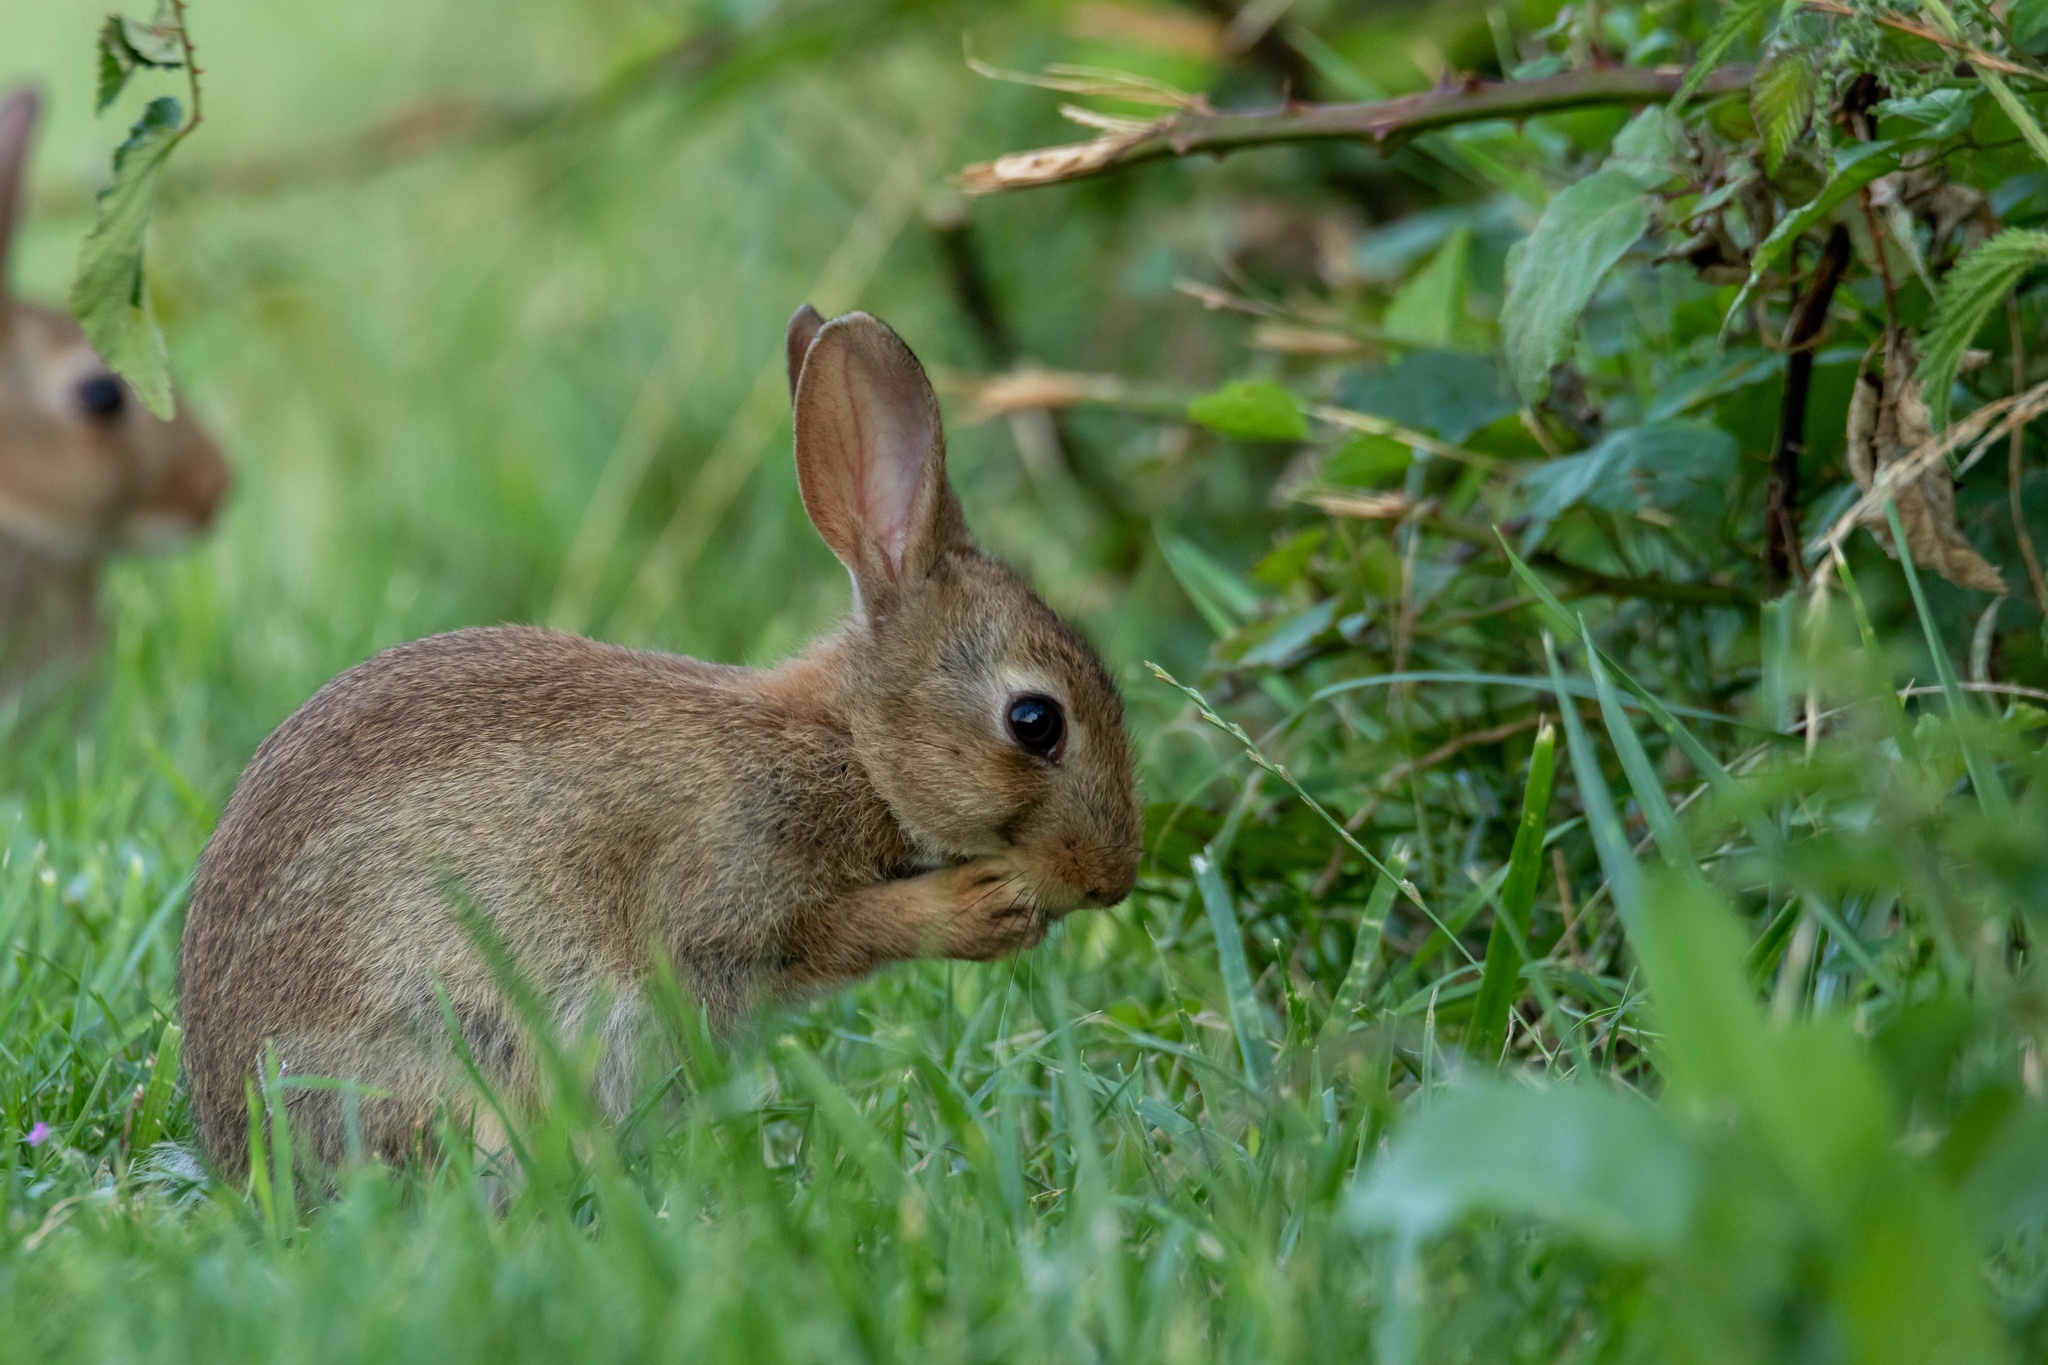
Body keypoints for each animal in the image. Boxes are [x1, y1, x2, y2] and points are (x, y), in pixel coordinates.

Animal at [182, 306, 1146, 1178]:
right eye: (1035, 721)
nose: (1112, 879)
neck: (850, 747)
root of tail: (237, 1148)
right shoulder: (723, 899)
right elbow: (827, 935)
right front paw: (985, 909)